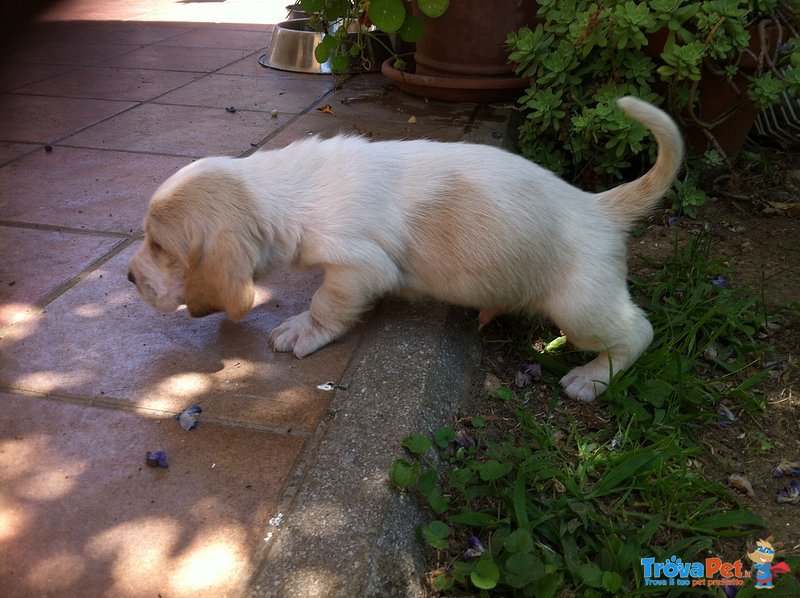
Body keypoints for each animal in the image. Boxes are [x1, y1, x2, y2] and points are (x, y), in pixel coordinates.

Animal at [128, 97, 684, 404]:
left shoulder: (360, 267)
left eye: (159, 245)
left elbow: (326, 304)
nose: (129, 279)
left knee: (638, 333)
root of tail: (599, 207)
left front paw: (302, 330)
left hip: (580, 308)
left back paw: (592, 379)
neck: (280, 188)